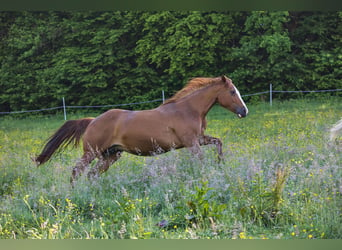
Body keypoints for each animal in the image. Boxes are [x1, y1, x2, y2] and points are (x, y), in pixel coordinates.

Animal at [35, 75, 248, 185]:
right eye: (232, 91)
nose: (244, 111)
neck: (188, 109)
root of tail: (92, 121)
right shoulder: (191, 143)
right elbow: (201, 161)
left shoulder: (200, 139)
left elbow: (218, 142)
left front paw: (220, 163)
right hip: (91, 153)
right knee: (77, 171)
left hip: (111, 155)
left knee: (91, 175)